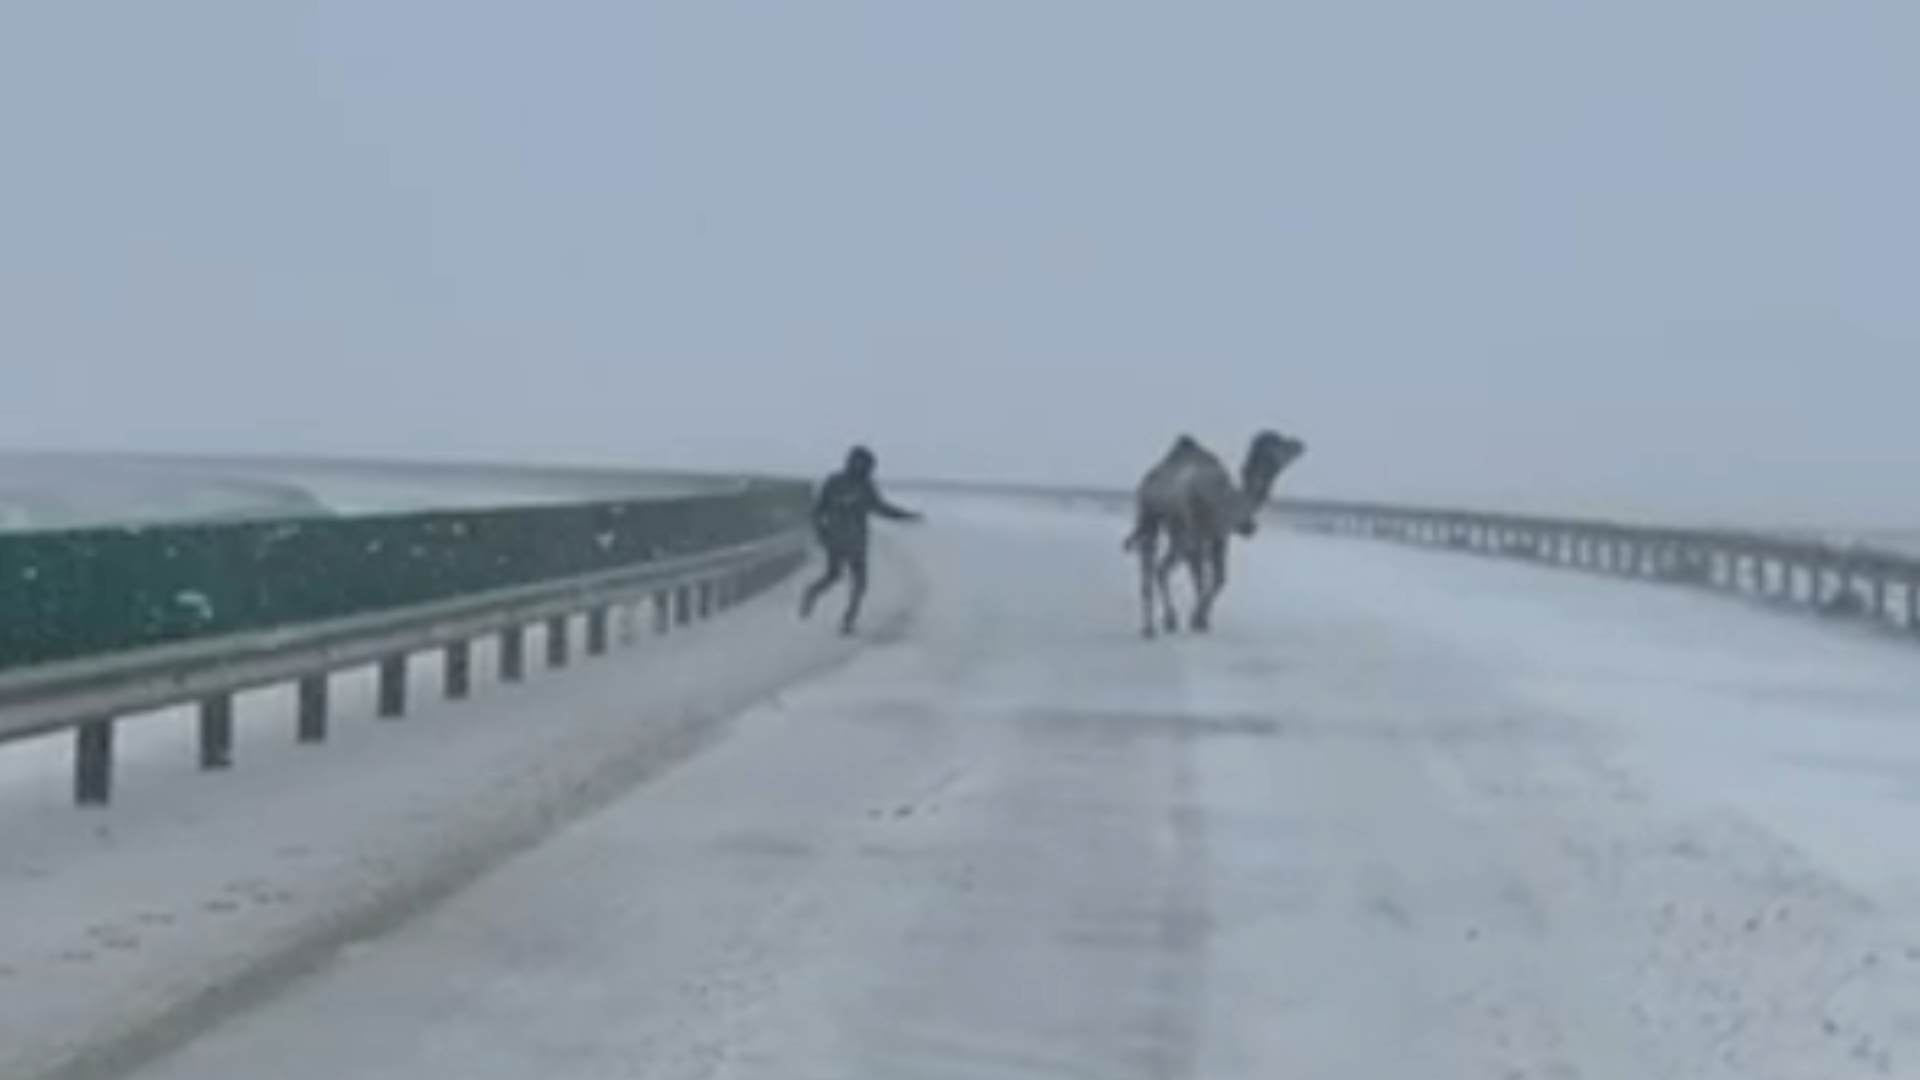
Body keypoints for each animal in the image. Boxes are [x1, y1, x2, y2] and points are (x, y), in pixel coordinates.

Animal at [1122, 430, 1306, 638]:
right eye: (1282, 444)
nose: (1300, 444)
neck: (1233, 503)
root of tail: (1155, 486)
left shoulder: (1205, 538)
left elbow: (1204, 579)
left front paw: (1200, 619)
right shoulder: (1218, 534)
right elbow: (1217, 579)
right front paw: (1198, 619)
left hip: (1149, 517)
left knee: (1147, 570)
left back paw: (1149, 628)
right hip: (1183, 530)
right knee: (1162, 568)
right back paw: (1170, 620)